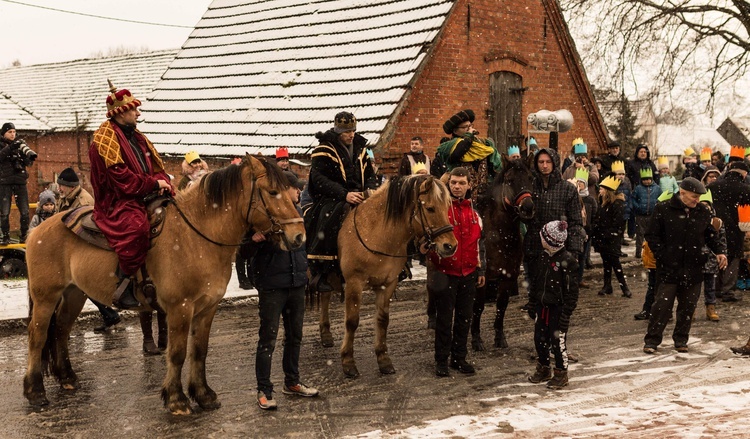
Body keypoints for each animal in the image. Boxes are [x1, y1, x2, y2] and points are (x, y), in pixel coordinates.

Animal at [23, 156, 306, 416]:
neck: (197, 236)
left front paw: (203, 395)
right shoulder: (180, 309)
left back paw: (67, 378)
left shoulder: (207, 308)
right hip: (46, 297)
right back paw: (35, 392)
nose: (299, 236)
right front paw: (176, 399)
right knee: (38, 336)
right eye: (272, 191)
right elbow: (177, 353)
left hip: (74, 294)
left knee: (61, 330)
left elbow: (199, 351)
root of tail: (37, 230)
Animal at [318, 175, 458, 378]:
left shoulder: (388, 283)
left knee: (324, 297)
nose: (450, 246)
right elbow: (352, 322)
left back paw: (325, 333)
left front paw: (383, 359)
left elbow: (383, 320)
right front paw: (348, 362)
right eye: (430, 208)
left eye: (447, 207)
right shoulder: (354, 283)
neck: (376, 234)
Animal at [472, 155, 536, 350]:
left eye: (531, 177)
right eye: (510, 180)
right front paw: (476, 339)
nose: (527, 207)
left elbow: (502, 304)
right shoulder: (483, 277)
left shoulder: (508, 276)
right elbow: (478, 306)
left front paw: (500, 337)